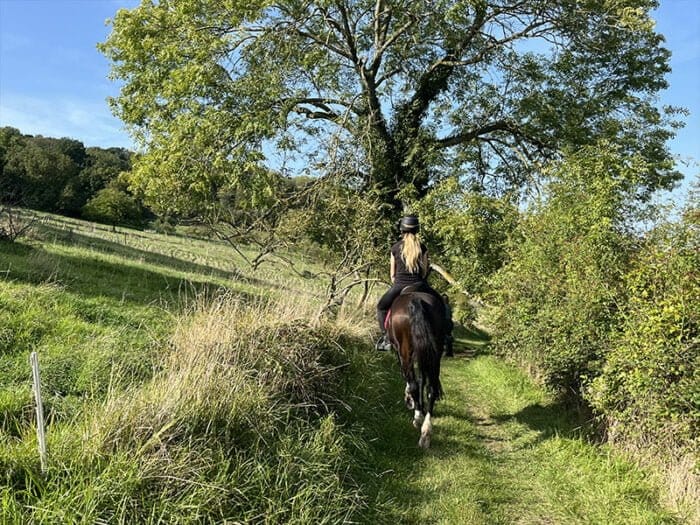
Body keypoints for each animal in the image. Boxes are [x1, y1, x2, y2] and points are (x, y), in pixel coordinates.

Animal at [386, 286, 446, 446]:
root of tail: (416, 300)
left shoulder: (400, 352)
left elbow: (409, 378)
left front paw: (410, 399)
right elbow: (422, 380)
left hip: (405, 350)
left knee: (413, 382)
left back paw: (418, 418)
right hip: (434, 352)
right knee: (431, 388)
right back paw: (426, 432)